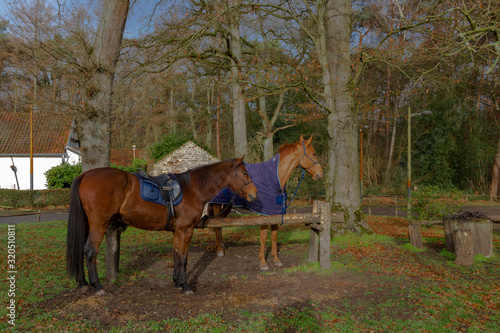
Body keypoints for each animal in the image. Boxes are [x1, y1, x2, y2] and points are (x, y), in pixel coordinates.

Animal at [65, 157, 258, 294]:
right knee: (90, 250)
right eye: (245, 173)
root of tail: (85, 175)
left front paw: (176, 282)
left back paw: (83, 283)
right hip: (99, 224)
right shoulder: (186, 230)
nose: (254, 194)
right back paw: (97, 286)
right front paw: (185, 286)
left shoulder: (177, 231)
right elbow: (183, 258)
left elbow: (176, 255)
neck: (192, 189)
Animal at [208, 135, 322, 270]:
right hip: (217, 204)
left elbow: (274, 236)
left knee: (220, 224)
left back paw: (222, 245)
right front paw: (263, 262)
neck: (275, 178)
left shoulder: (275, 213)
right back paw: (219, 250)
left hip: (227, 206)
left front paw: (276, 260)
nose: (320, 174)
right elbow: (263, 237)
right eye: (314, 153)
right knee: (216, 225)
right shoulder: (264, 215)